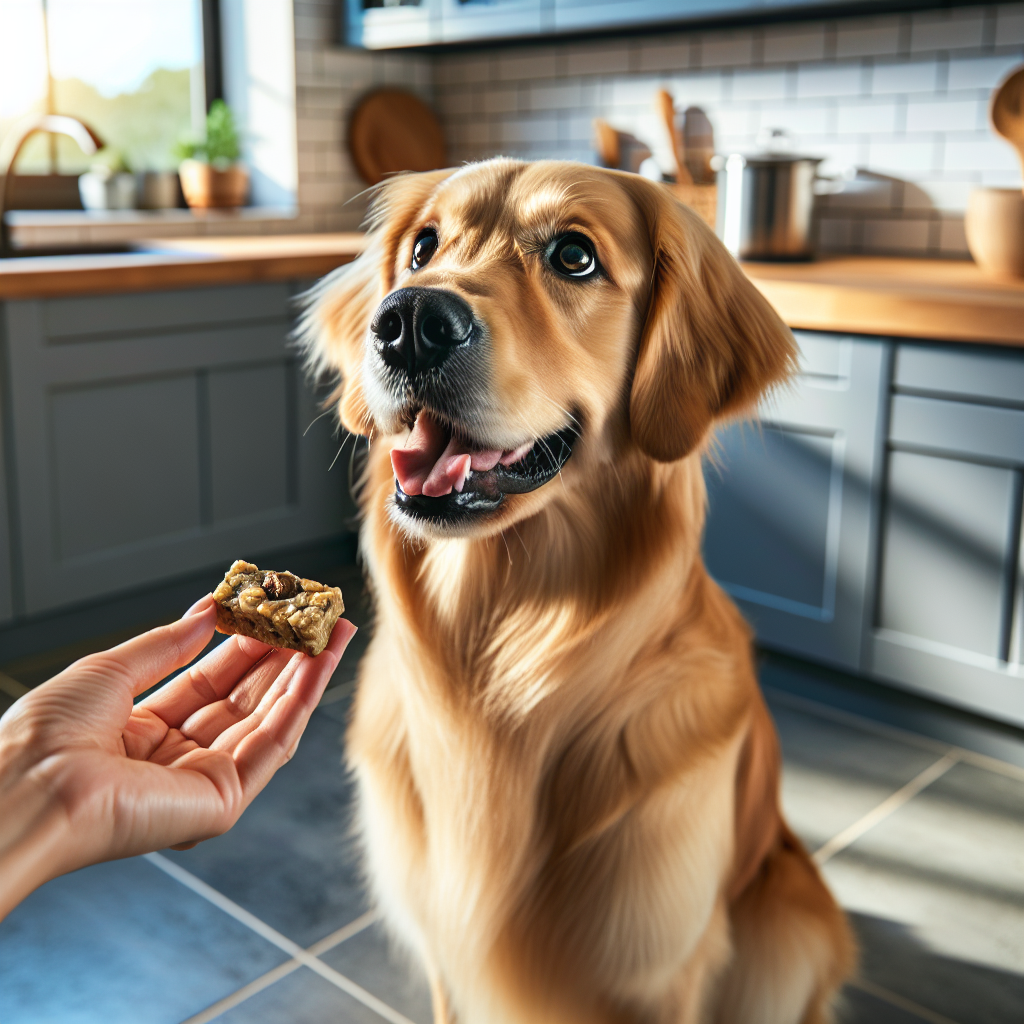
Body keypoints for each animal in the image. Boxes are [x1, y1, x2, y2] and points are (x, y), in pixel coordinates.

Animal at [303, 159, 856, 1024]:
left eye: (573, 256)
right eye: (423, 246)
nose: (409, 321)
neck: (505, 641)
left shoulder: (657, 968)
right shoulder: (445, 951)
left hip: (786, 929)